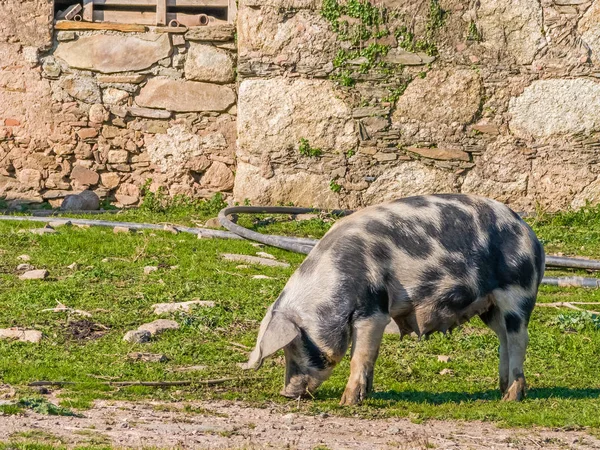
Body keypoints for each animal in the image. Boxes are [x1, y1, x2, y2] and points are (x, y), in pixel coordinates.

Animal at [241, 195, 548, 406]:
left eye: (295, 346)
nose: (286, 392)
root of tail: (531, 235)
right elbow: (370, 356)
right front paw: (367, 394)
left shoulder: (374, 309)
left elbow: (360, 356)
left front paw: (347, 402)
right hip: (490, 307)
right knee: (503, 339)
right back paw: (500, 389)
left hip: (516, 292)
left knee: (520, 339)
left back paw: (511, 397)